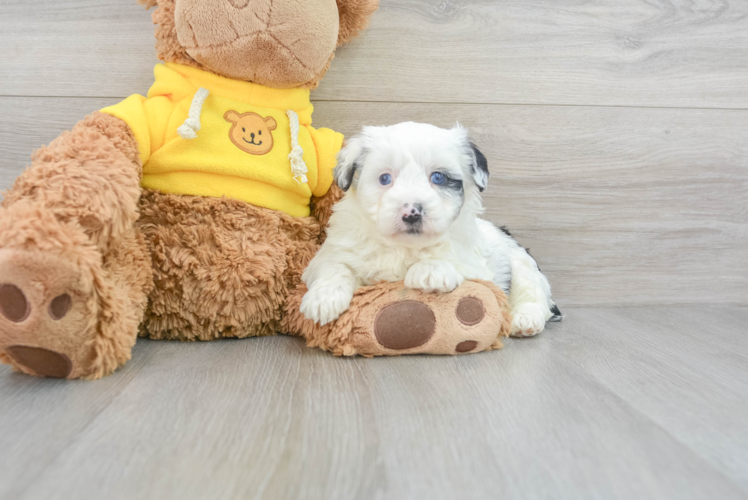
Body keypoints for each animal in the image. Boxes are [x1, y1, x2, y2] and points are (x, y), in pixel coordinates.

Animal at [300, 121, 560, 336]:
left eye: (438, 177)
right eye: (385, 179)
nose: (412, 212)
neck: (404, 247)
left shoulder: (477, 267)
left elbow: (453, 260)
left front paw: (430, 271)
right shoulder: (332, 253)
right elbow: (335, 268)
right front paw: (324, 299)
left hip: (521, 261)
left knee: (534, 292)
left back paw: (525, 319)